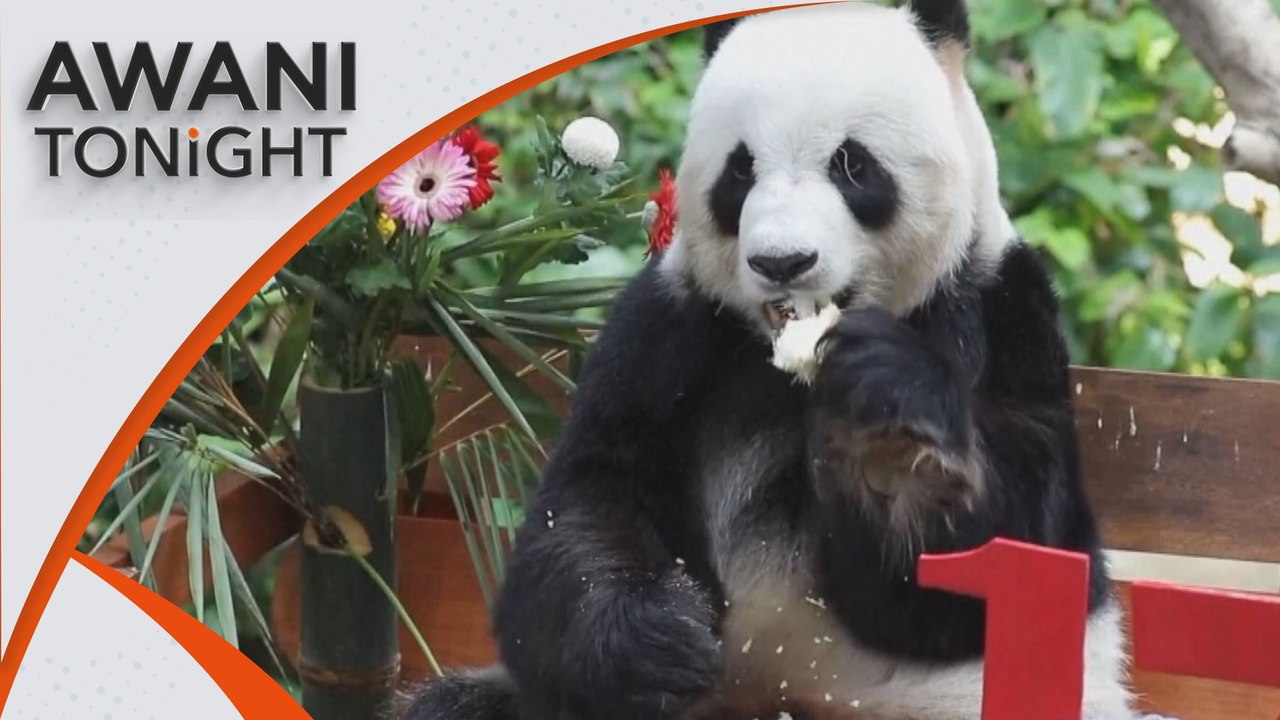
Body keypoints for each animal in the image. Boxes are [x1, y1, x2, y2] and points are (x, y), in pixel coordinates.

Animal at [405, 2, 1136, 719]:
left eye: (852, 165)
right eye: (740, 169)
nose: (781, 262)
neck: (792, 364)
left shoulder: (999, 309)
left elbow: (1005, 560)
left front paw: (895, 447)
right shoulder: (671, 327)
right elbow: (589, 499)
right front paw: (658, 635)